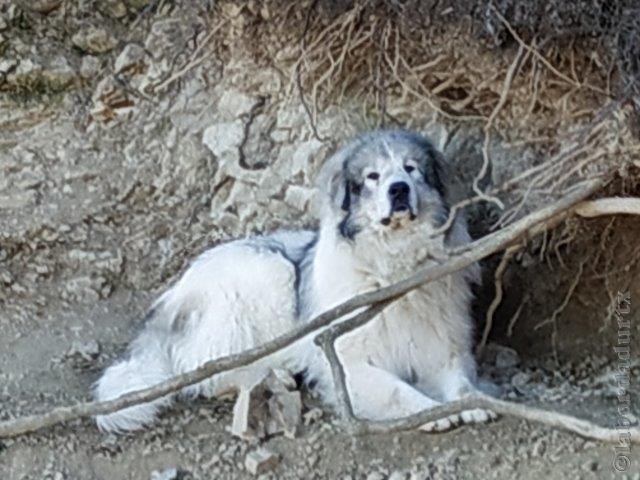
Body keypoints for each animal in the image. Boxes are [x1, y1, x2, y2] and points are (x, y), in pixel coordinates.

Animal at [95, 129, 496, 434]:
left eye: (411, 169)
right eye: (372, 177)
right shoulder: (348, 363)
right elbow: (396, 390)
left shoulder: (444, 347)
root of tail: (173, 297)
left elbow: (460, 380)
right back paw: (272, 376)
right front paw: (431, 411)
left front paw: (471, 401)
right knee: (210, 372)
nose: (398, 189)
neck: (395, 266)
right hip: (271, 272)